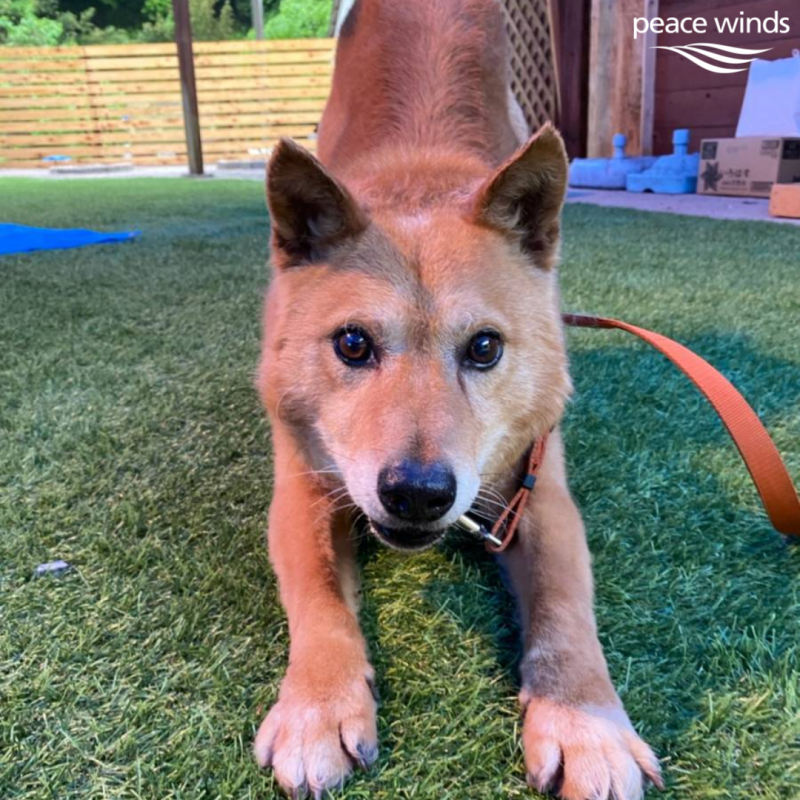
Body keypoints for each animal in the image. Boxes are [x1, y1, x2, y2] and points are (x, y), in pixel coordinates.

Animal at [254, 1, 663, 797]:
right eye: (353, 344)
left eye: (484, 348)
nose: (417, 493)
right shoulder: (302, 491)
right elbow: (319, 602)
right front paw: (318, 708)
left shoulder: (540, 493)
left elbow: (566, 611)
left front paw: (585, 725)